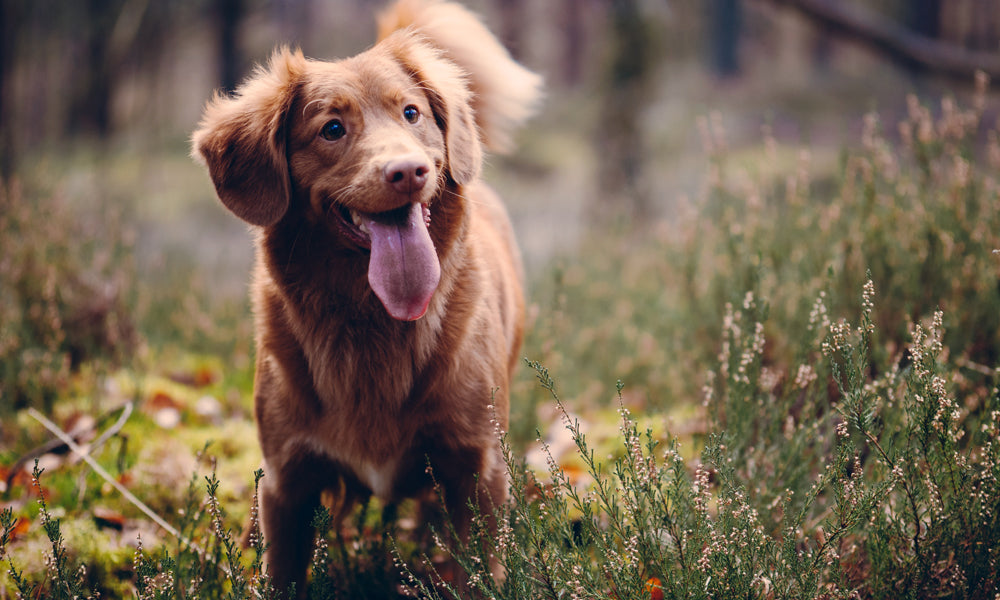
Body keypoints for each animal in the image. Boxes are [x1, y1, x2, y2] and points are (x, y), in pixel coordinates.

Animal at [192, 0, 544, 596]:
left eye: (411, 113)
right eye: (332, 129)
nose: (408, 171)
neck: (370, 319)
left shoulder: (477, 467)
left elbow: (475, 571)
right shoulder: (287, 481)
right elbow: (282, 572)